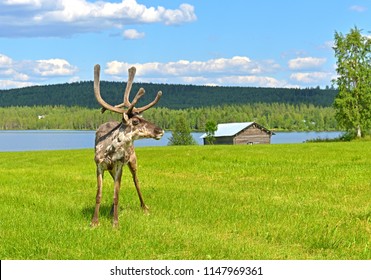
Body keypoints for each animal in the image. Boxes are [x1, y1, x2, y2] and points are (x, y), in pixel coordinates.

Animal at [91, 64, 164, 228]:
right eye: (135, 121)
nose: (160, 130)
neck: (109, 151)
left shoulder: (119, 165)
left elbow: (116, 195)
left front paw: (115, 223)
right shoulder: (99, 165)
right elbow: (99, 194)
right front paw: (94, 222)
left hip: (132, 160)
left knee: (136, 181)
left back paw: (144, 208)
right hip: (113, 168)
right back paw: (110, 211)